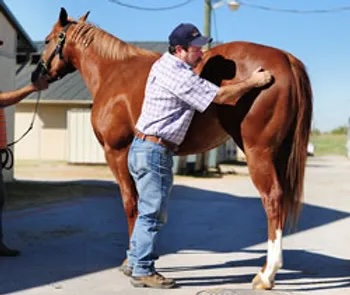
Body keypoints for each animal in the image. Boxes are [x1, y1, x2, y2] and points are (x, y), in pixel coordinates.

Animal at [33, 7, 312, 292]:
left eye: (48, 40)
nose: (38, 76)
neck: (112, 71)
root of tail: (284, 59)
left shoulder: (117, 152)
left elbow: (131, 204)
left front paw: (131, 262)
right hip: (278, 153)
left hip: (259, 152)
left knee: (272, 199)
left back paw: (266, 275)